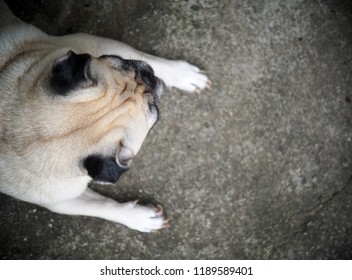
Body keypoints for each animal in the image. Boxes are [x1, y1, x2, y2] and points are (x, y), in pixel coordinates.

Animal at [0, 0, 209, 232]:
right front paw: (140, 217)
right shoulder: (61, 199)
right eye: (153, 110)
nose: (149, 78)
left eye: (123, 64)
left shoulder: (93, 45)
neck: (18, 135)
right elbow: (101, 207)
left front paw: (182, 74)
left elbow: (145, 56)